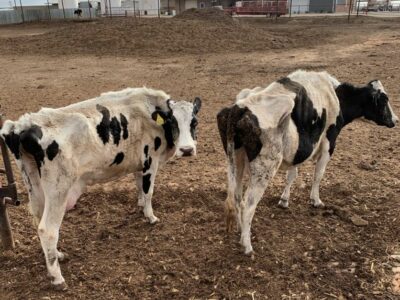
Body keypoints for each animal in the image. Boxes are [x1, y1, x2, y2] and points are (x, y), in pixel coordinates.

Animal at [0, 88, 200, 290]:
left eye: (194, 122)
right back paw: (58, 278)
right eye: (173, 121)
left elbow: (139, 187)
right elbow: (148, 191)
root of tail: (22, 125)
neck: (149, 110)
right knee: (47, 229)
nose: (187, 150)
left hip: (33, 184)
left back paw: (57, 255)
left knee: (38, 218)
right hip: (58, 189)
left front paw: (141, 207)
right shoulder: (150, 161)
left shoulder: (139, 164)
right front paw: (151, 217)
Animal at [217, 71, 398, 255]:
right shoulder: (329, 142)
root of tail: (240, 108)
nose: (395, 120)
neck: (335, 95)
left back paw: (240, 231)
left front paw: (284, 200)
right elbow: (318, 174)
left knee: (237, 197)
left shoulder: (298, 151)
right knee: (248, 204)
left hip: (235, 160)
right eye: (384, 99)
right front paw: (315, 200)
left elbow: (292, 174)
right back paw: (247, 245)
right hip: (265, 167)